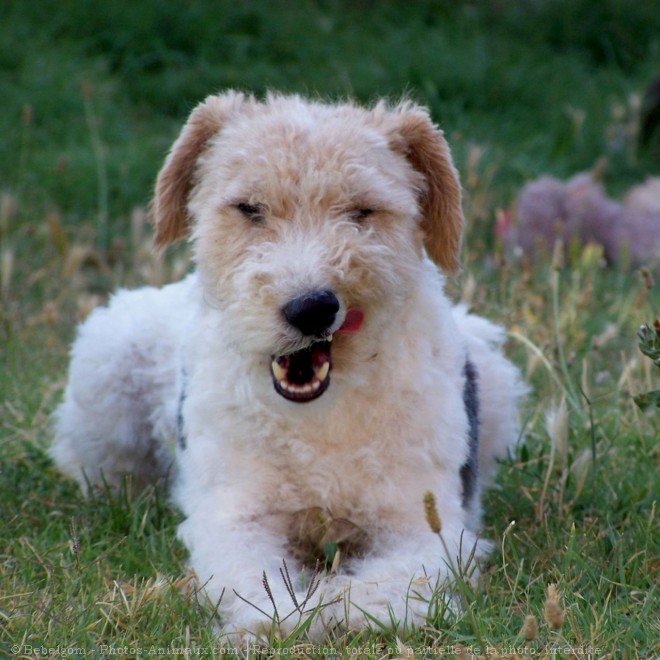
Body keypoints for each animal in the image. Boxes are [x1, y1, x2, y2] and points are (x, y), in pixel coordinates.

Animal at [51, 93, 524, 640]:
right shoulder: (237, 518)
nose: (311, 309)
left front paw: (342, 611)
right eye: (248, 208)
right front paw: (280, 621)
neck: (320, 417)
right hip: (107, 368)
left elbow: (384, 588)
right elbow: (260, 591)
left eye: (363, 210)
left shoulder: (421, 524)